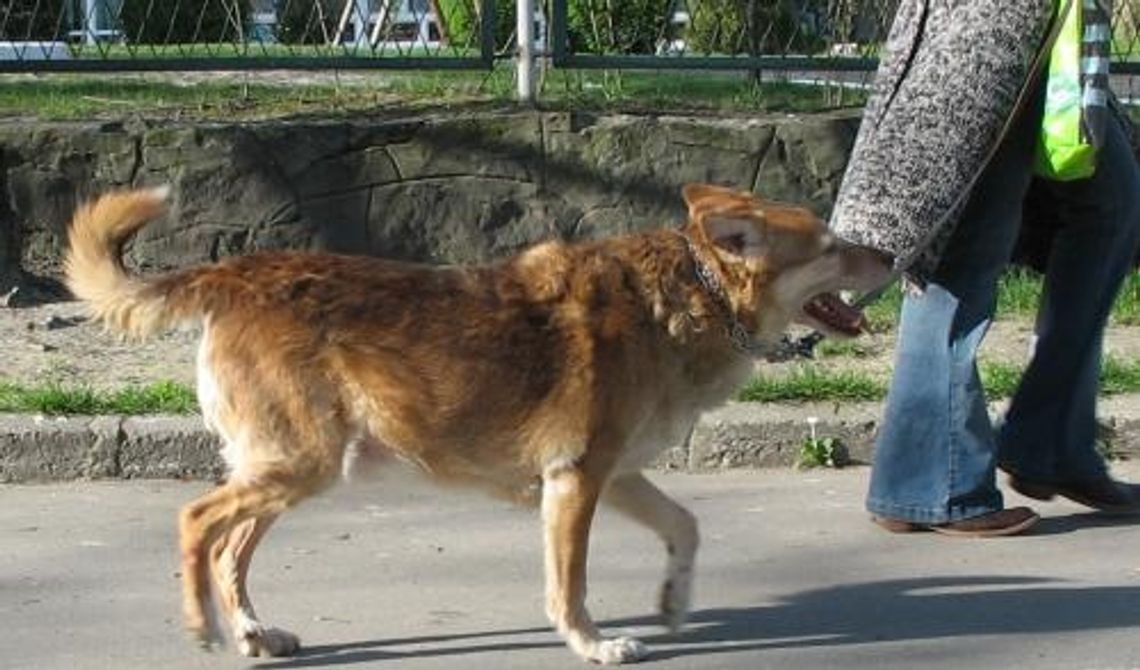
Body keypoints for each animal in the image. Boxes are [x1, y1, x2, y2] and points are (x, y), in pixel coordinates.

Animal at [64, 180, 889, 660]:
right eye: (832, 247)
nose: (888, 255)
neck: (692, 296)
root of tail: (235, 271)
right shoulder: (575, 482)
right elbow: (569, 586)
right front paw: (592, 643)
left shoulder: (614, 476)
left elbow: (685, 528)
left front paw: (673, 602)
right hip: (298, 465)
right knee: (197, 523)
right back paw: (205, 625)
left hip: (294, 472)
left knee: (230, 551)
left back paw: (252, 633)